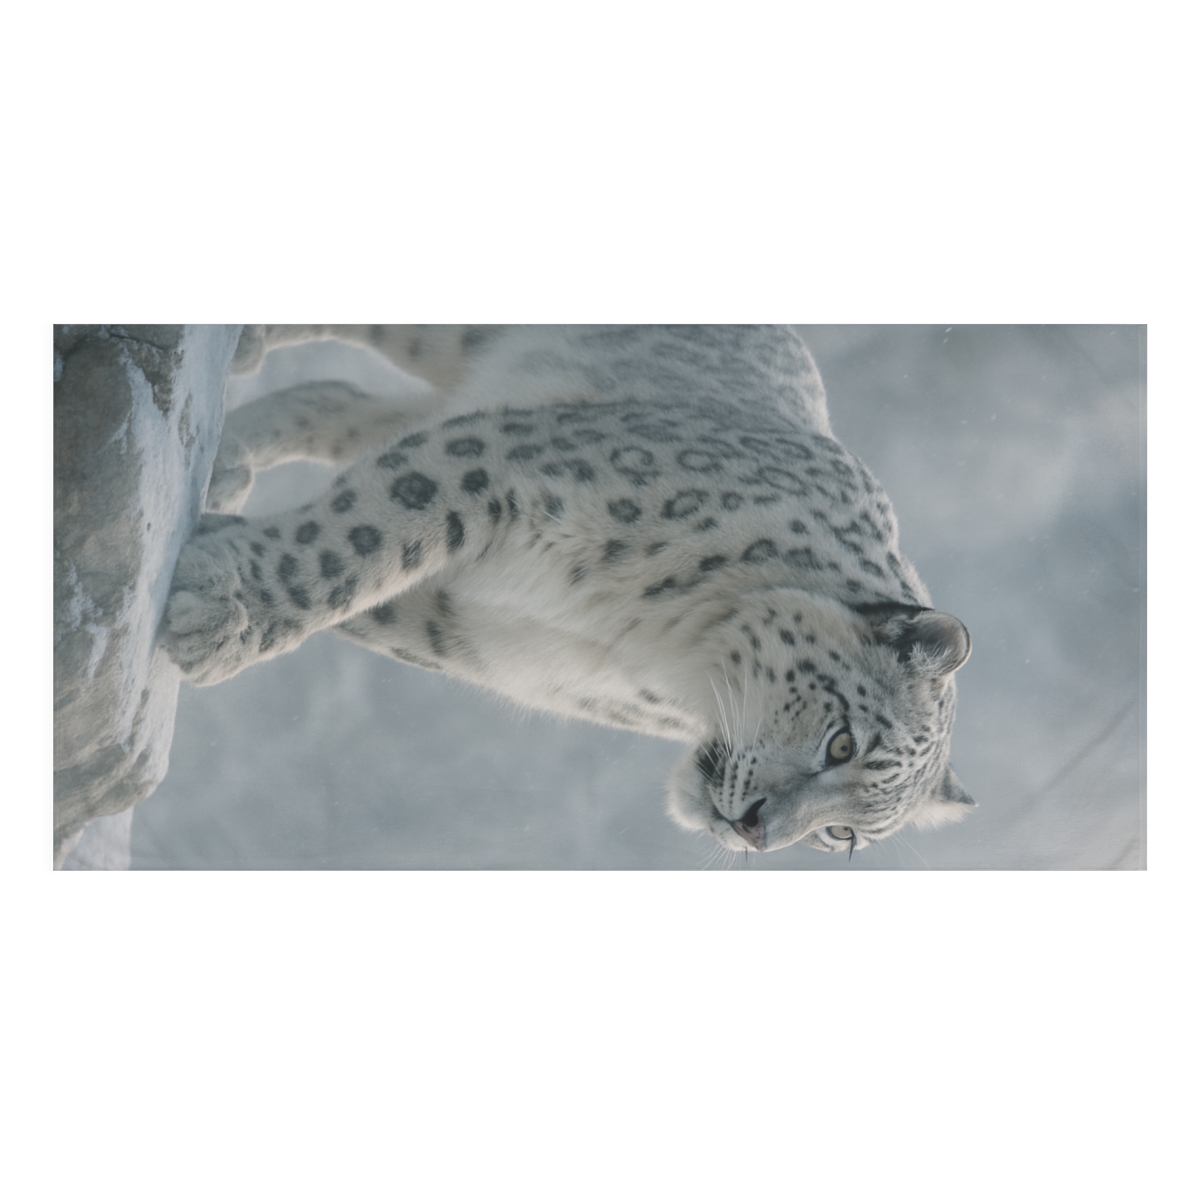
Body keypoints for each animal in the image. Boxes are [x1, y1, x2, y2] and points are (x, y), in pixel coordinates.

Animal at [160, 324, 974, 856]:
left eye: (842, 836)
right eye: (842, 742)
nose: (756, 832)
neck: (651, 644)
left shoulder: (489, 642)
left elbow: (373, 596)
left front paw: (214, 561)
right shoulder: (499, 465)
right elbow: (354, 546)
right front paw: (223, 614)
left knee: (343, 399)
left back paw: (232, 459)